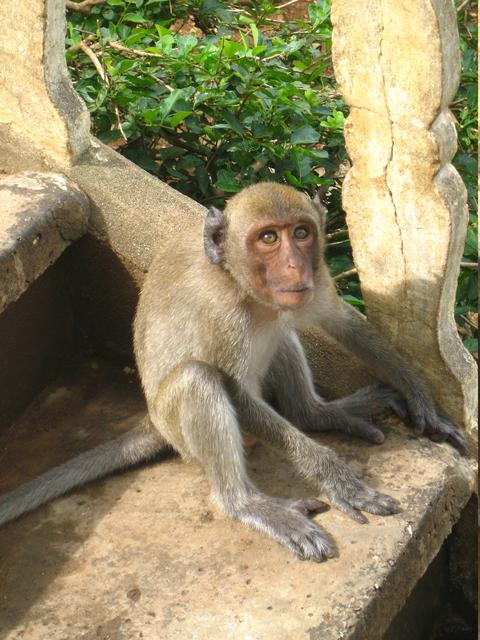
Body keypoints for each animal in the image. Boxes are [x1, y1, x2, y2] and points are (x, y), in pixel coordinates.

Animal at [0, 183, 467, 561]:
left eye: (301, 233)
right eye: (268, 238)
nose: (295, 267)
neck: (242, 286)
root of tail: (153, 421)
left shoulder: (315, 284)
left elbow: (341, 321)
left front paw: (419, 397)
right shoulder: (221, 314)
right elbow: (237, 394)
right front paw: (336, 478)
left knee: (281, 334)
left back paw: (318, 413)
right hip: (178, 429)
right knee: (198, 379)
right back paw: (246, 505)